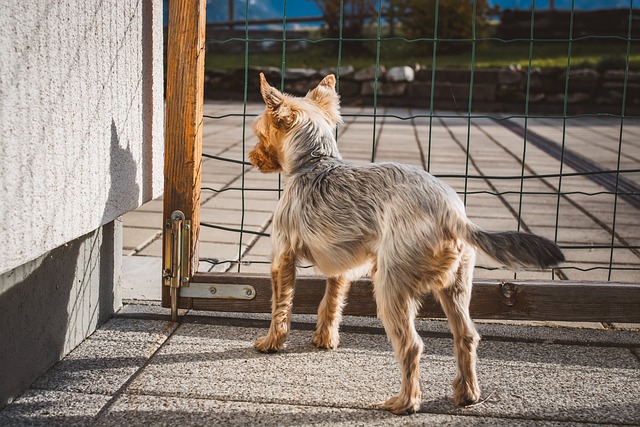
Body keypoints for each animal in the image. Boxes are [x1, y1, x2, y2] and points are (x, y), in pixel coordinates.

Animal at [248, 73, 564, 414]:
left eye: (259, 134)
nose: (251, 157)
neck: (314, 161)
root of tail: (451, 214)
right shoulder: (342, 266)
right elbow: (331, 303)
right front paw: (325, 339)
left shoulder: (282, 256)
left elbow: (280, 305)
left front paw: (271, 342)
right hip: (456, 285)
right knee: (466, 336)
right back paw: (467, 393)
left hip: (390, 286)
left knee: (411, 345)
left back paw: (406, 401)